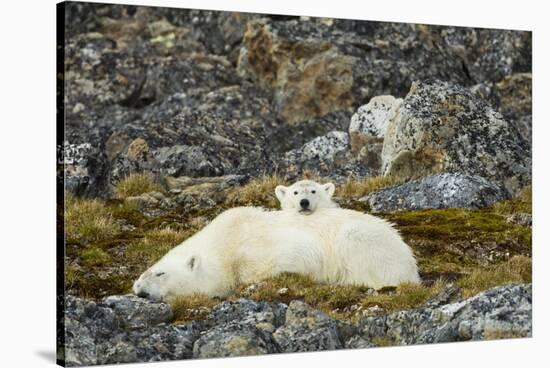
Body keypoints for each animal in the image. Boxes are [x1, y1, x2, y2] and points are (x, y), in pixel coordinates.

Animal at [135, 206, 422, 300]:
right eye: (140, 275)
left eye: (159, 273)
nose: (139, 291)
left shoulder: (257, 243)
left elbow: (300, 255)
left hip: (365, 241)